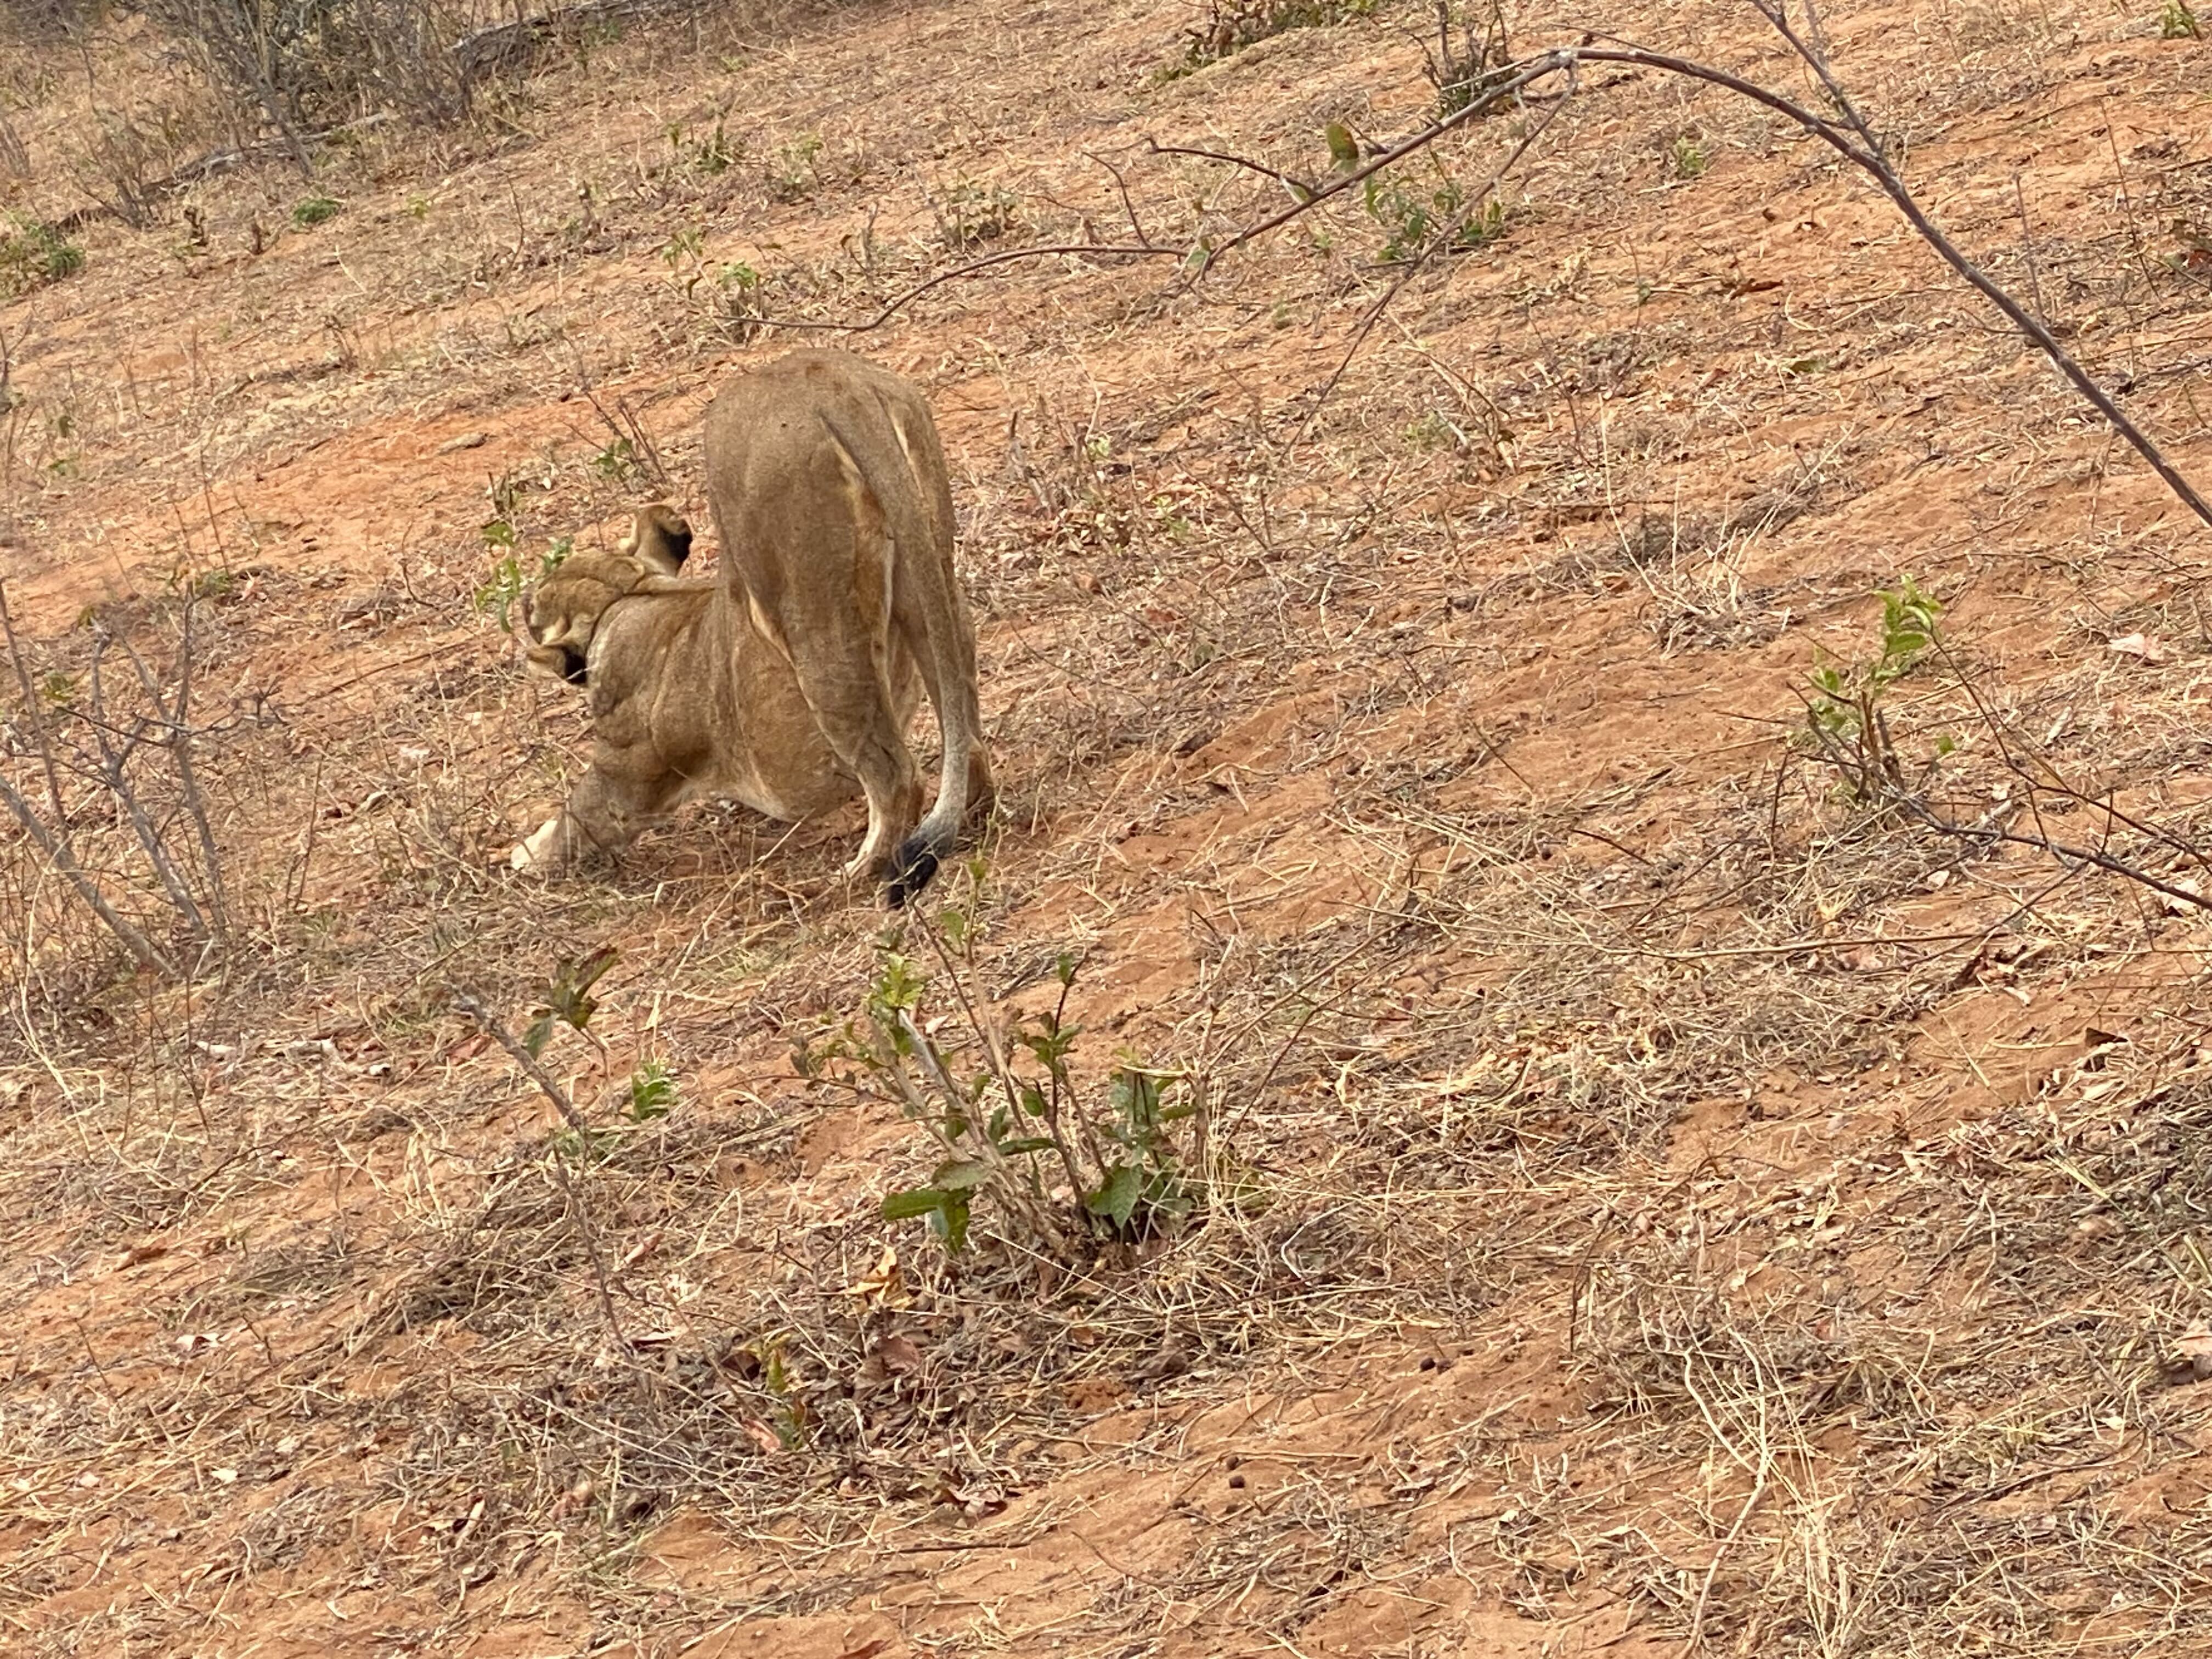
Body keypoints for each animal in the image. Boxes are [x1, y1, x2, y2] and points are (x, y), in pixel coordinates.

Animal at [510, 349, 992, 905]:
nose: (524, 603)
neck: (627, 596)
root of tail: (829, 381)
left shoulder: (625, 777)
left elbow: (577, 817)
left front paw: (524, 857)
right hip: (930, 570)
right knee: (963, 719)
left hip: (811, 613)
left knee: (898, 778)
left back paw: (858, 874)